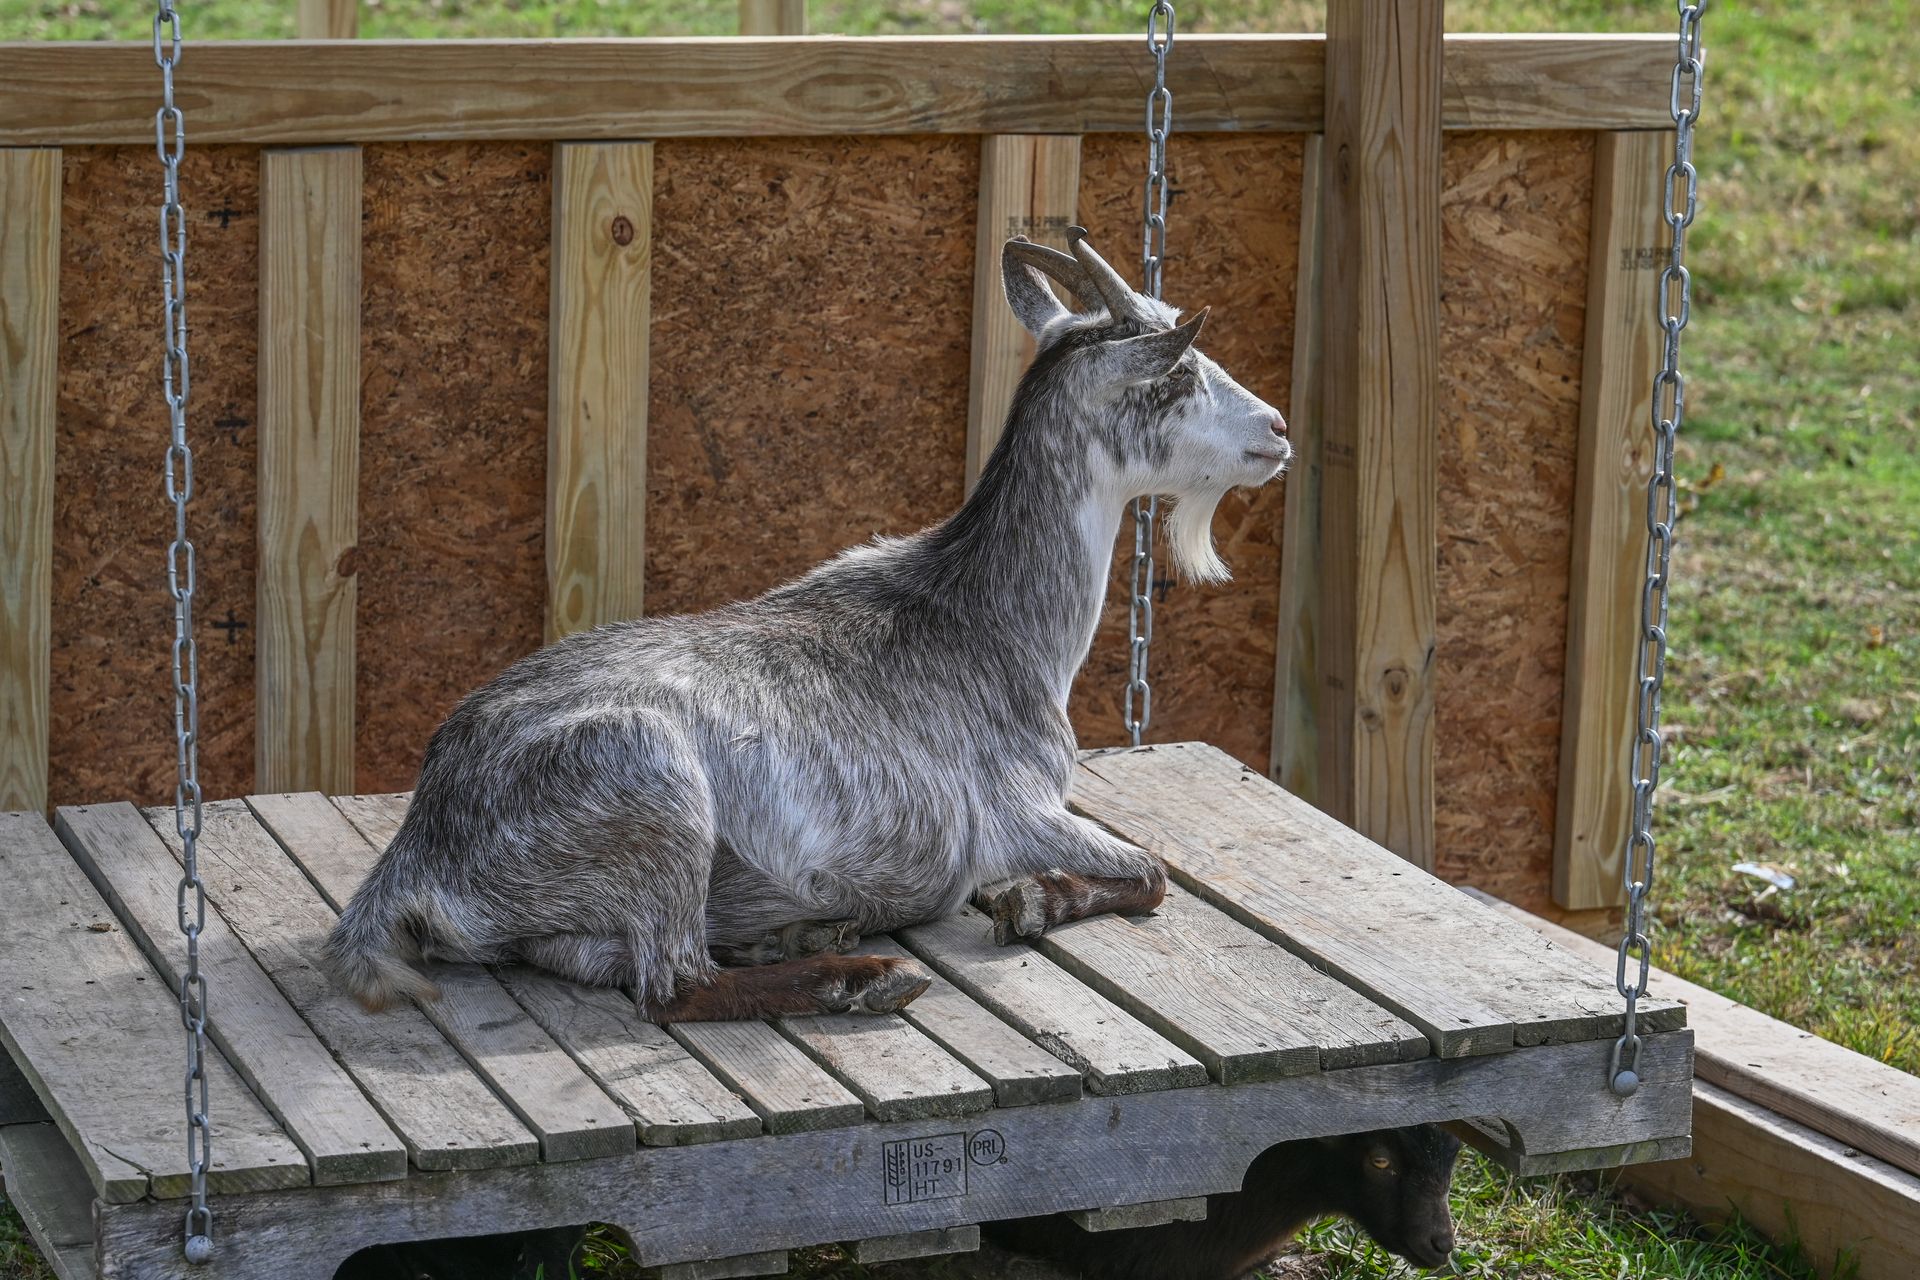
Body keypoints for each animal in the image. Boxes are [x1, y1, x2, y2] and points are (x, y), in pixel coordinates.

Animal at [324, 230, 1291, 1021]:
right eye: (1178, 373)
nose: (1277, 430)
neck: (989, 619)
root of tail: (417, 849)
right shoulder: (1018, 811)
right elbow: (1154, 874)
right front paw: (1032, 901)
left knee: (600, 960)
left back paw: (795, 933)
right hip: (655, 784)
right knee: (673, 987)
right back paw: (859, 978)